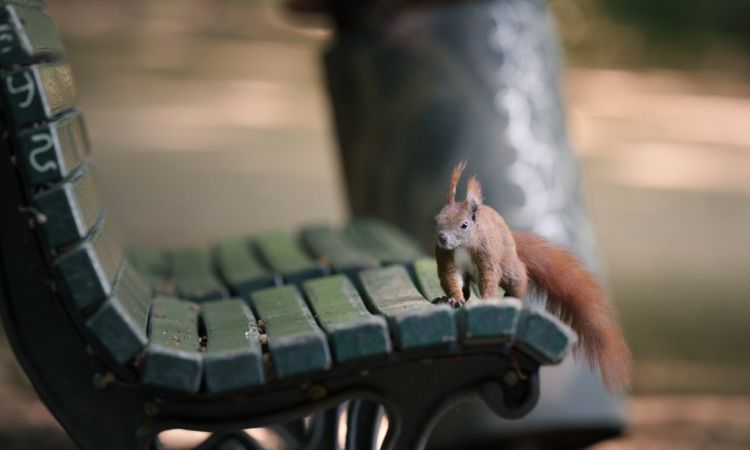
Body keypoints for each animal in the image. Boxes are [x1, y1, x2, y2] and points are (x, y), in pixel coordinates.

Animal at [434, 161, 631, 392]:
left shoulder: (487, 256)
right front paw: (453, 299)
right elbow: (450, 279)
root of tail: (510, 237)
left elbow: (489, 277)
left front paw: (488, 300)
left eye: (464, 225)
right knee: (466, 285)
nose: (442, 238)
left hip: (509, 267)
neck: (463, 246)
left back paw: (512, 296)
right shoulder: (446, 260)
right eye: (437, 220)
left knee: (519, 277)